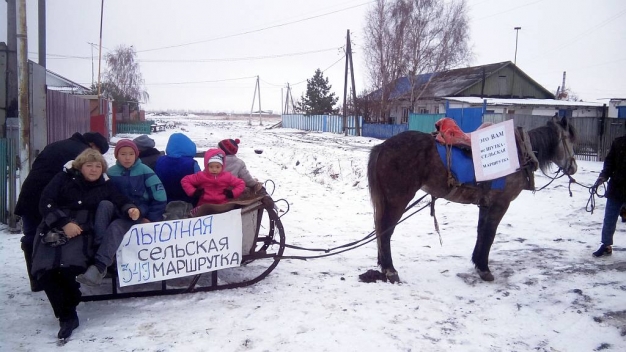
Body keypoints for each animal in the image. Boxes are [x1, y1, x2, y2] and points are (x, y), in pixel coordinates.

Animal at [366, 117, 576, 282]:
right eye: (568, 139)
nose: (573, 167)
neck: (518, 153)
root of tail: (382, 146)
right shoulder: (500, 204)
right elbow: (490, 235)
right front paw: (484, 268)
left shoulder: (486, 204)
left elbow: (481, 232)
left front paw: (478, 263)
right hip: (398, 199)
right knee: (386, 231)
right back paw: (390, 270)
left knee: (380, 229)